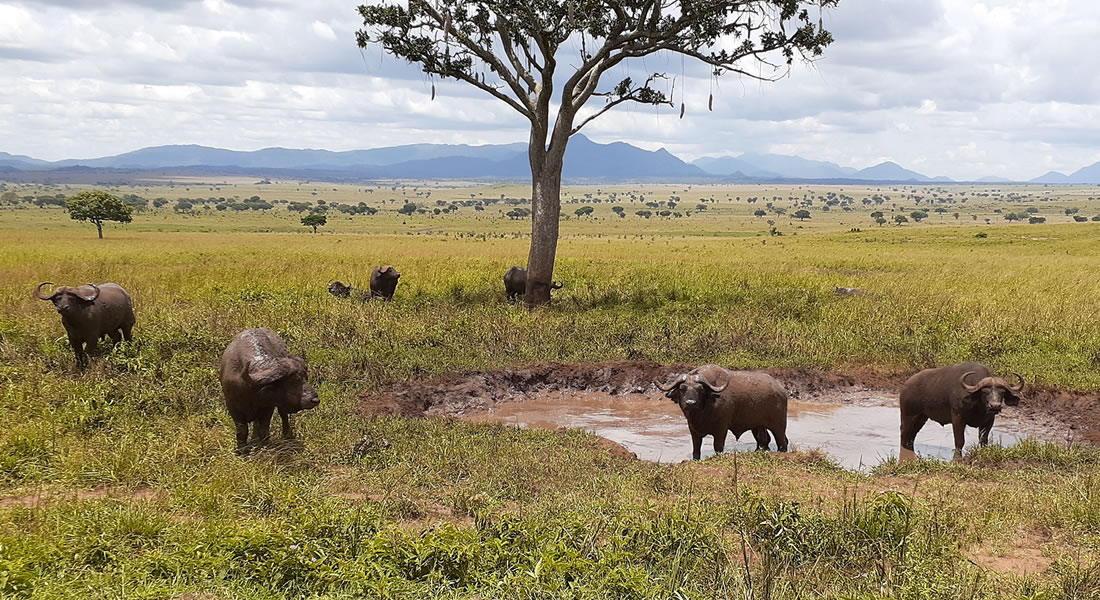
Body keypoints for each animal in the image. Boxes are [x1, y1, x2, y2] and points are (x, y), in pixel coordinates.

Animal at [655, 365, 787, 457]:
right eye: (682, 388)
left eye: (700, 389)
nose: (690, 403)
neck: (702, 414)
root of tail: (780, 390)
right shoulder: (693, 430)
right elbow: (696, 450)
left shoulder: (721, 429)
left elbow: (718, 447)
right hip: (757, 426)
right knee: (764, 441)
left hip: (779, 425)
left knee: (783, 442)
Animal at [897, 361, 1025, 453]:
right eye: (984, 392)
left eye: (1002, 392)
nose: (995, 406)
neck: (978, 406)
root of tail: (906, 385)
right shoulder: (957, 418)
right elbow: (959, 442)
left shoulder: (989, 421)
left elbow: (983, 440)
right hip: (908, 415)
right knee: (904, 433)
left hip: (922, 417)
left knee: (912, 434)